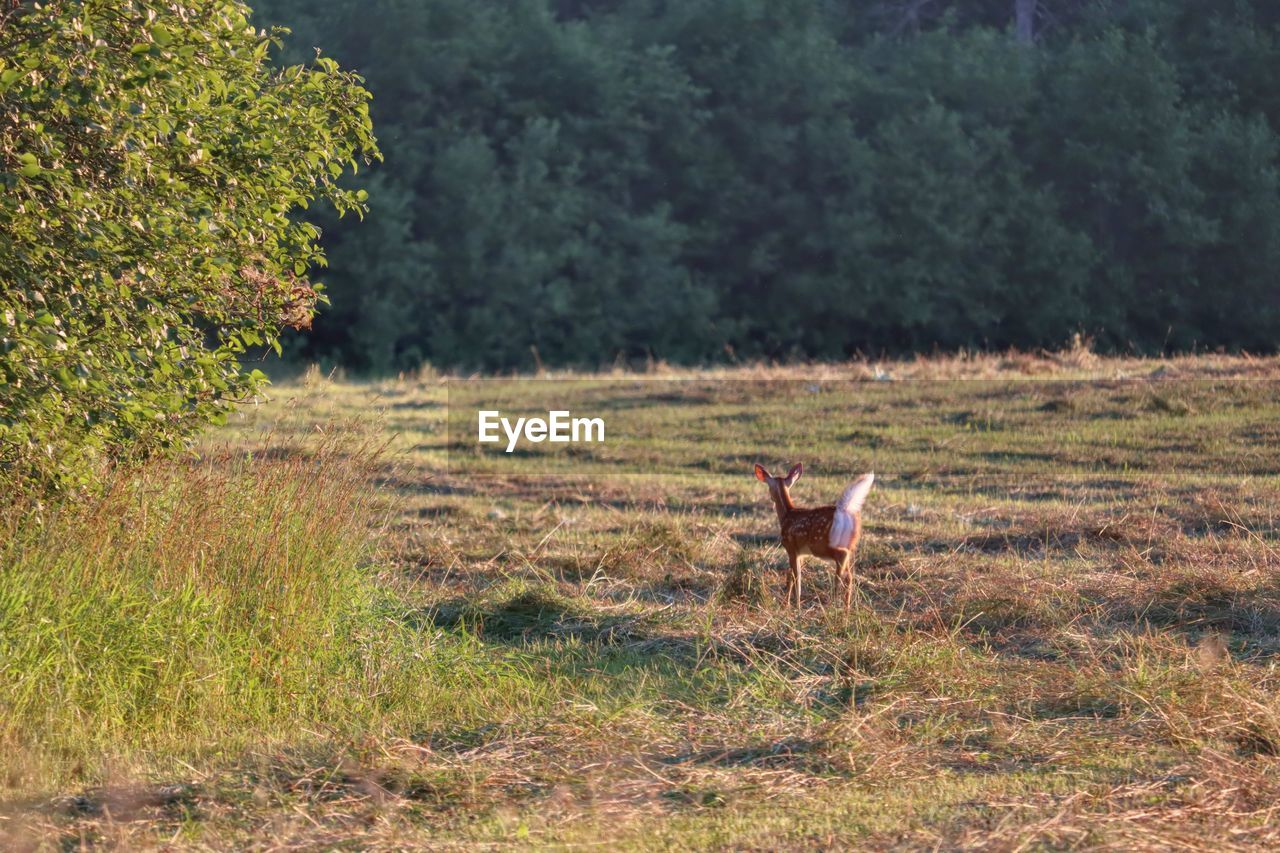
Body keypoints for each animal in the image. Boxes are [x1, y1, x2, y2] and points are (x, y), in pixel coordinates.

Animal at [752, 461, 875, 607]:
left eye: (769, 487)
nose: (771, 497)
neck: (786, 515)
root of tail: (844, 510)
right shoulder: (800, 553)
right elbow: (790, 575)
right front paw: (788, 604)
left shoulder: (790, 546)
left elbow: (796, 577)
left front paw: (795, 605)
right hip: (850, 543)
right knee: (849, 575)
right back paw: (846, 607)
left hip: (820, 544)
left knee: (842, 557)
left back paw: (834, 600)